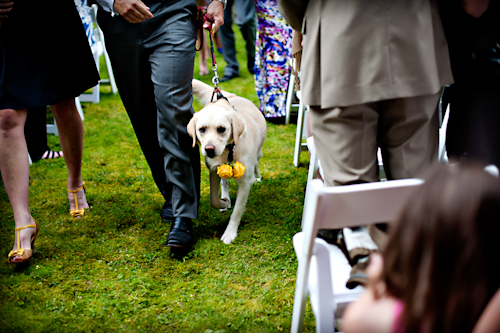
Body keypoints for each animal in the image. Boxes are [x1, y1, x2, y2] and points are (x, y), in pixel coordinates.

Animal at [188, 78, 266, 244]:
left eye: (222, 129)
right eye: (201, 129)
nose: (209, 149)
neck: (228, 151)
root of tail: (231, 96)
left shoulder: (245, 182)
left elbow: (237, 212)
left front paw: (230, 233)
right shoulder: (213, 171)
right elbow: (213, 199)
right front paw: (224, 202)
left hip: (258, 153)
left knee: (256, 163)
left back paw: (257, 176)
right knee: (225, 183)